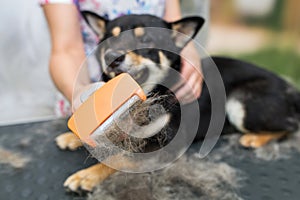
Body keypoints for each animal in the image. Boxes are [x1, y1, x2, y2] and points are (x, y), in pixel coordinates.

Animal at [55, 11, 300, 193]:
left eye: (145, 39)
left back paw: (255, 138)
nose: (111, 56)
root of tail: (291, 89)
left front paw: (87, 175)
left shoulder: (167, 144)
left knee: (290, 125)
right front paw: (74, 136)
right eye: (109, 39)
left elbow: (120, 157)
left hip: (240, 104)